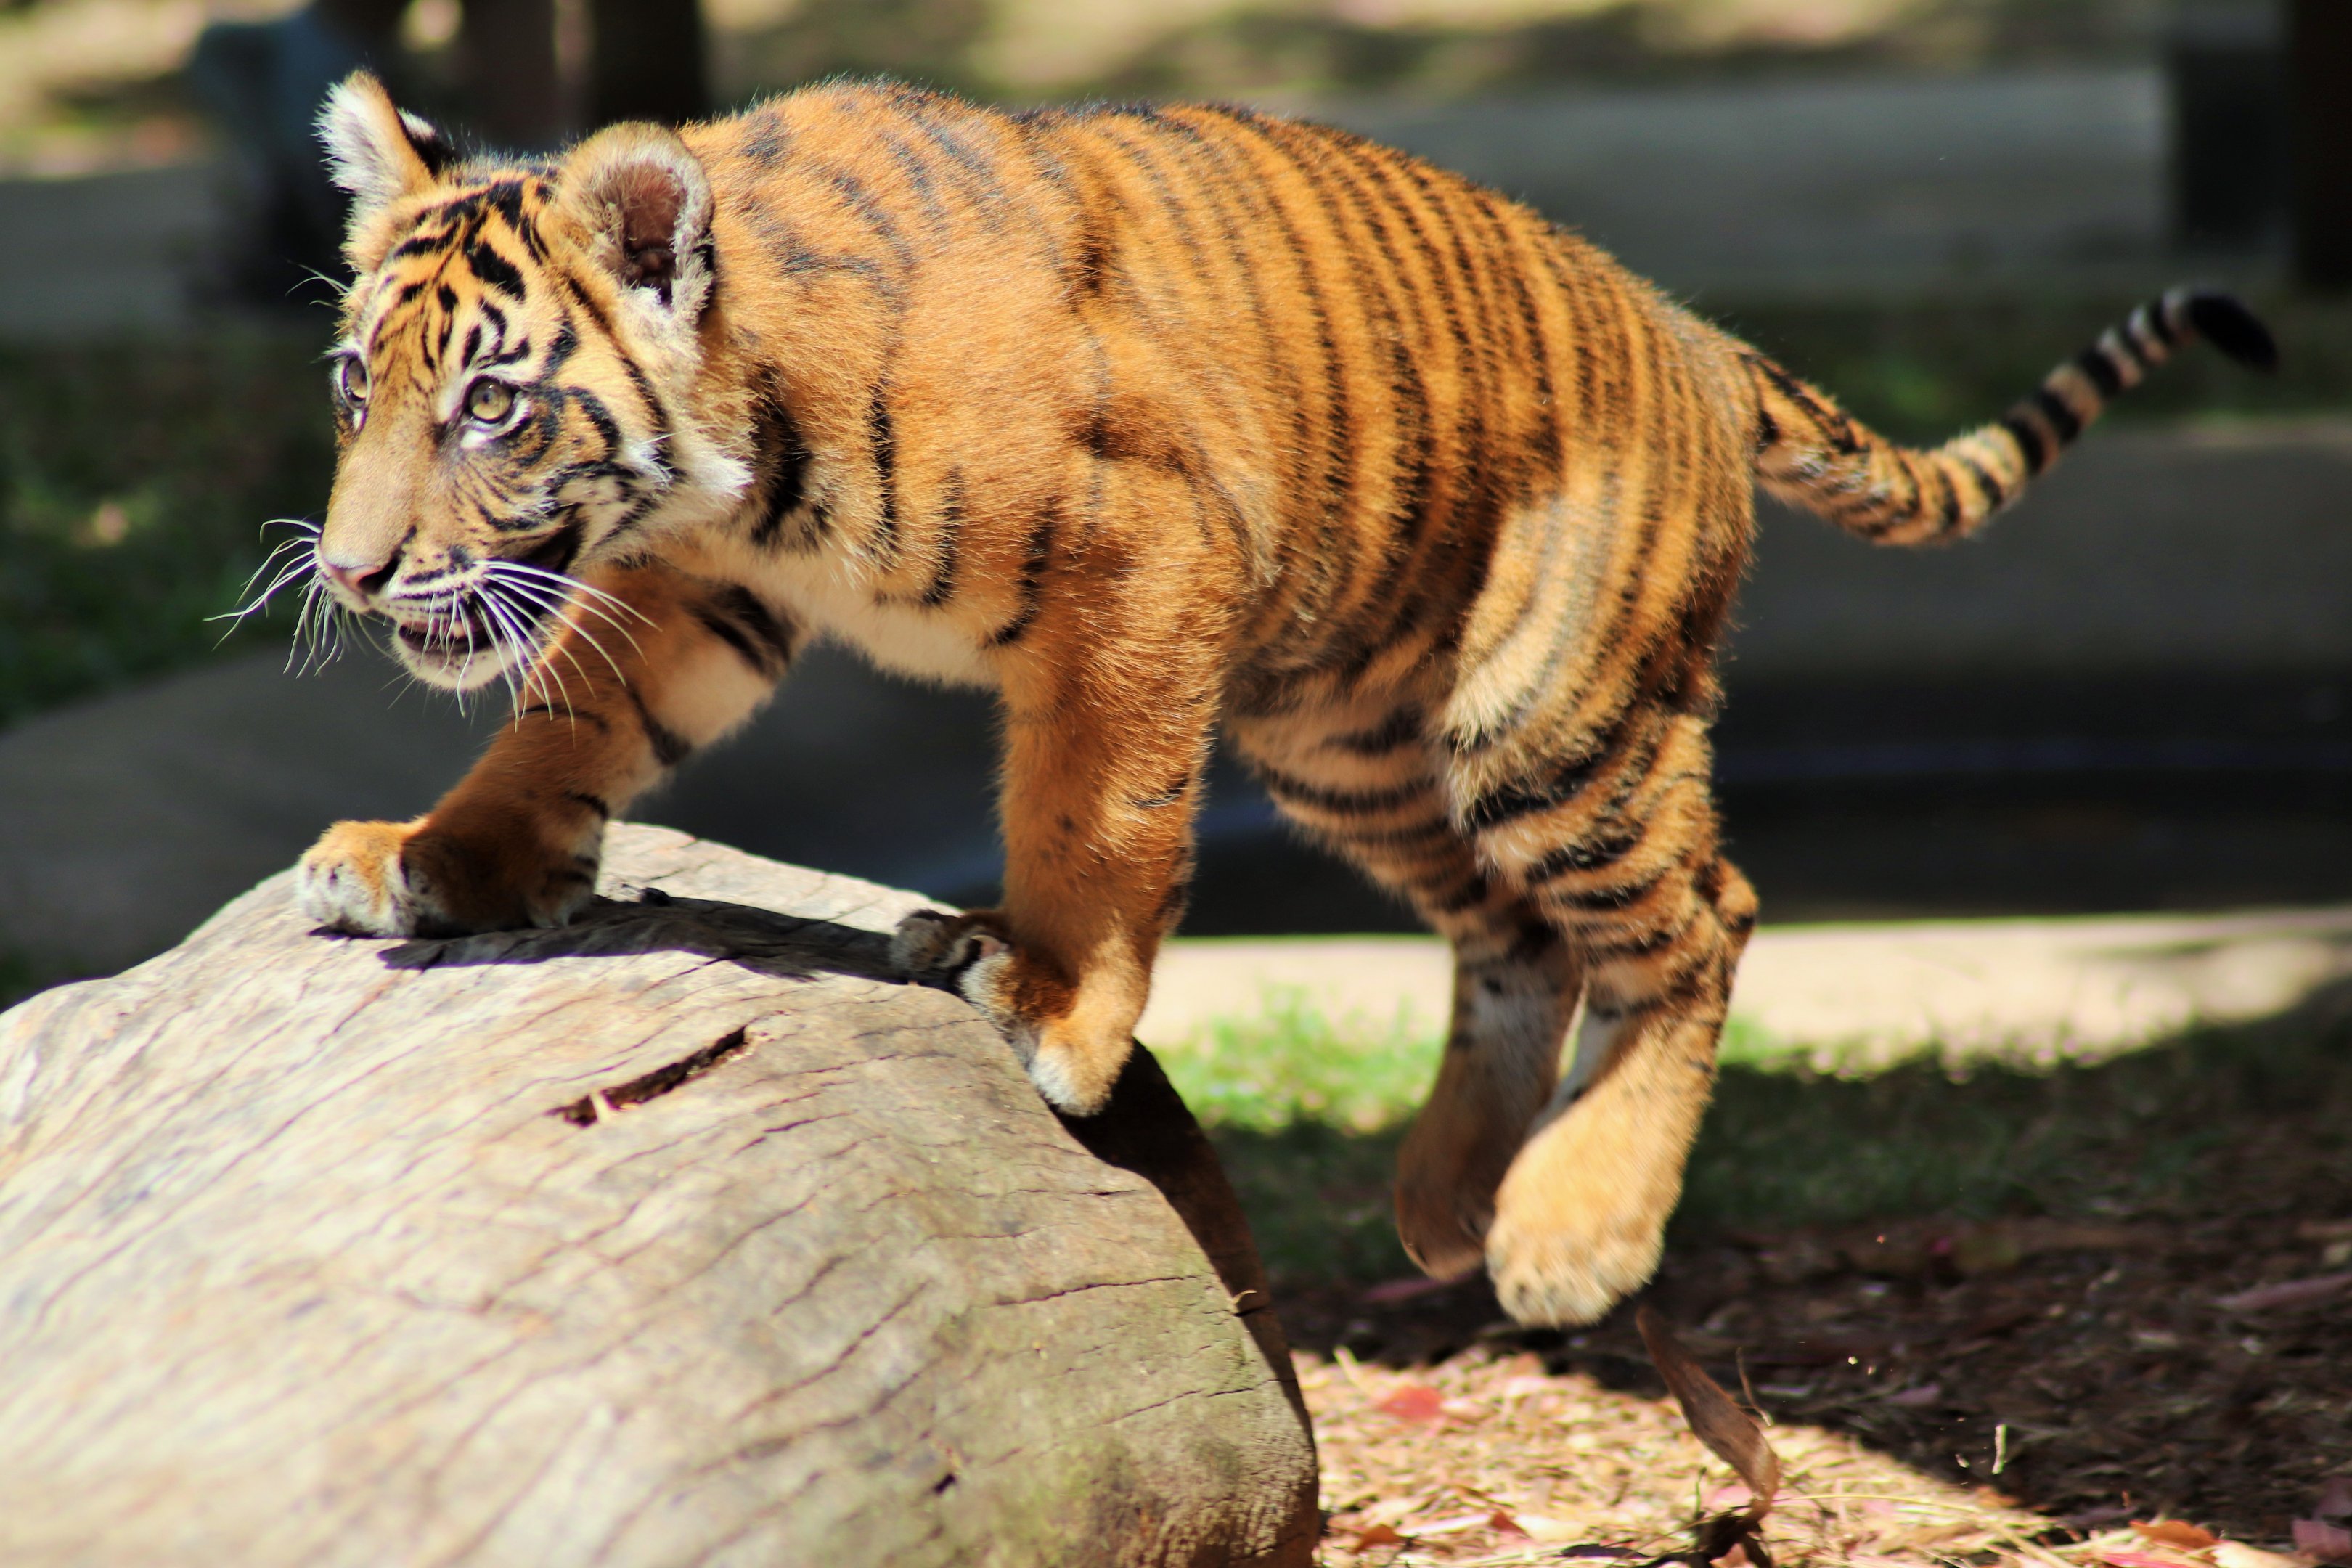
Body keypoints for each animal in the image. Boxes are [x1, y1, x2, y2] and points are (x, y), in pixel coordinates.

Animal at [293, 70, 2274, 1327]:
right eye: (355, 385)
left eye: (490, 407)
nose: (356, 577)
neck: (736, 455)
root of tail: (1693, 335)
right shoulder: (702, 580)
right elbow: (561, 718)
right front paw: (427, 861)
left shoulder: (1136, 564)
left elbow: (1089, 813)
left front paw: (1051, 1004)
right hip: (1346, 743)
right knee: (1515, 936)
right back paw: (1446, 1199)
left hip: (1546, 718)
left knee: (1696, 915)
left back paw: (1574, 1229)